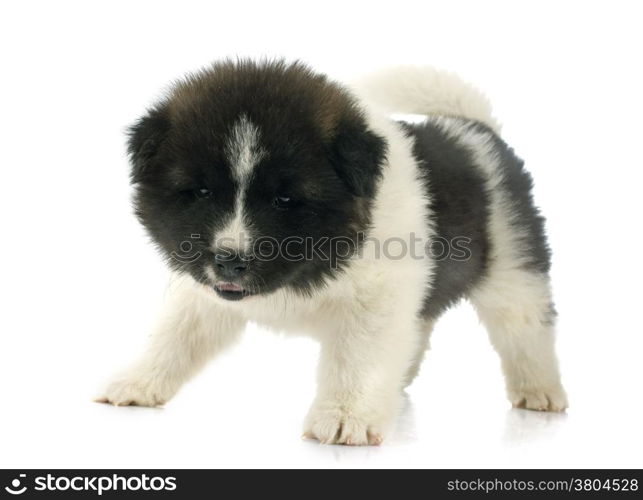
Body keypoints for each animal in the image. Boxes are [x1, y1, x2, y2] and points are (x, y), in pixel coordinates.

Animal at [97, 59, 568, 446]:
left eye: (285, 200)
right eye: (201, 192)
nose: (230, 260)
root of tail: (475, 129)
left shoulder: (374, 300)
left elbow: (357, 359)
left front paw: (345, 417)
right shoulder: (203, 294)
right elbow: (174, 337)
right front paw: (136, 383)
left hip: (513, 265)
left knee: (525, 329)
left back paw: (540, 391)